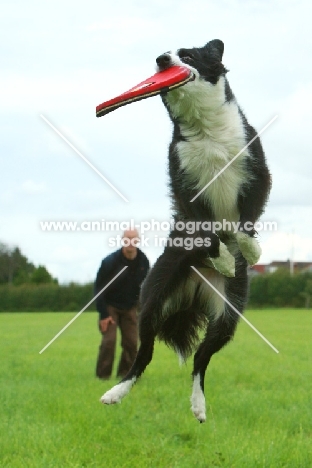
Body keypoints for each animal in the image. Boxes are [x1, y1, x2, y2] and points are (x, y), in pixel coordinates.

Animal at [100, 38, 270, 422]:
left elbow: (246, 219)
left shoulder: (257, 168)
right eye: (160, 60)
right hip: (154, 295)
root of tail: (196, 287)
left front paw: (247, 251)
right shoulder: (184, 184)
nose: (162, 60)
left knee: (202, 359)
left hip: (229, 312)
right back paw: (115, 393)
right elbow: (206, 229)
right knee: (144, 354)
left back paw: (198, 405)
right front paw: (223, 258)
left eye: (188, 55)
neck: (206, 130)